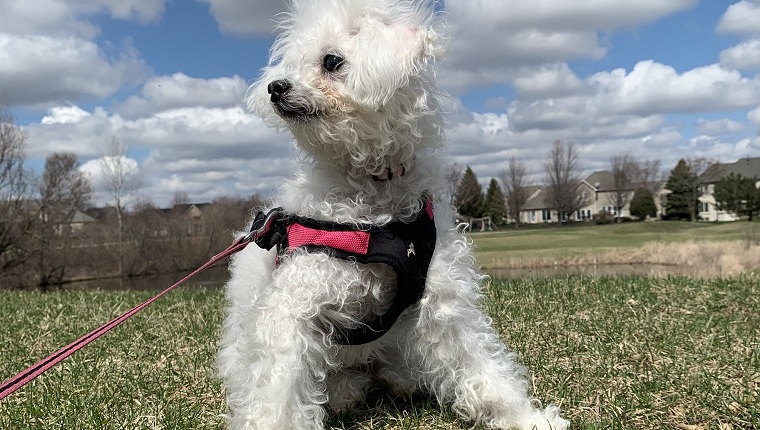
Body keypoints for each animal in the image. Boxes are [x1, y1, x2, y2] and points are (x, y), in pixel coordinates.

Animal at [217, 0, 568, 430]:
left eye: (331, 61)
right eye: (291, 63)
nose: (275, 87)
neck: (375, 203)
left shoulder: (442, 300)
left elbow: (480, 365)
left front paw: (525, 417)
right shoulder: (293, 307)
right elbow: (278, 392)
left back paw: (398, 380)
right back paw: (344, 392)